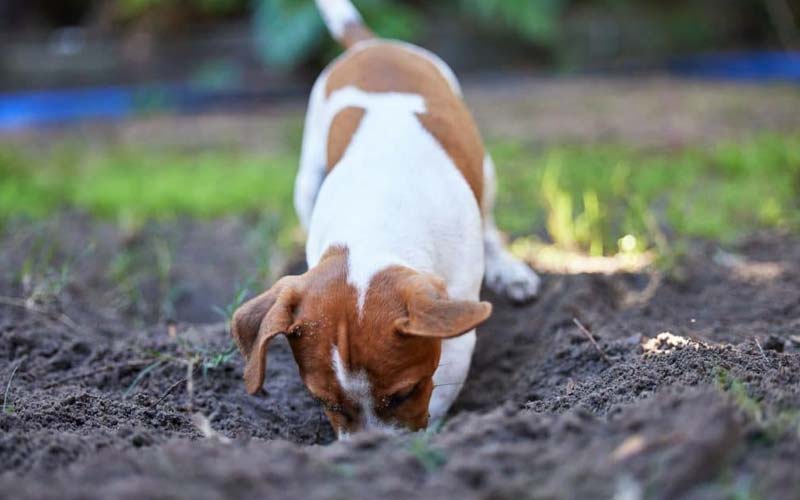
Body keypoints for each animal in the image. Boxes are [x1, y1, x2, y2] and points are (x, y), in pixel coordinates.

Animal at [234, 0, 540, 438]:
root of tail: (373, 44)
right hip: (306, 179)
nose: (369, 449)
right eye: (325, 402)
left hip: (486, 169)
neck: (372, 224)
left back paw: (509, 269)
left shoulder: (456, 333)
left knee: (489, 220)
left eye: (405, 393)